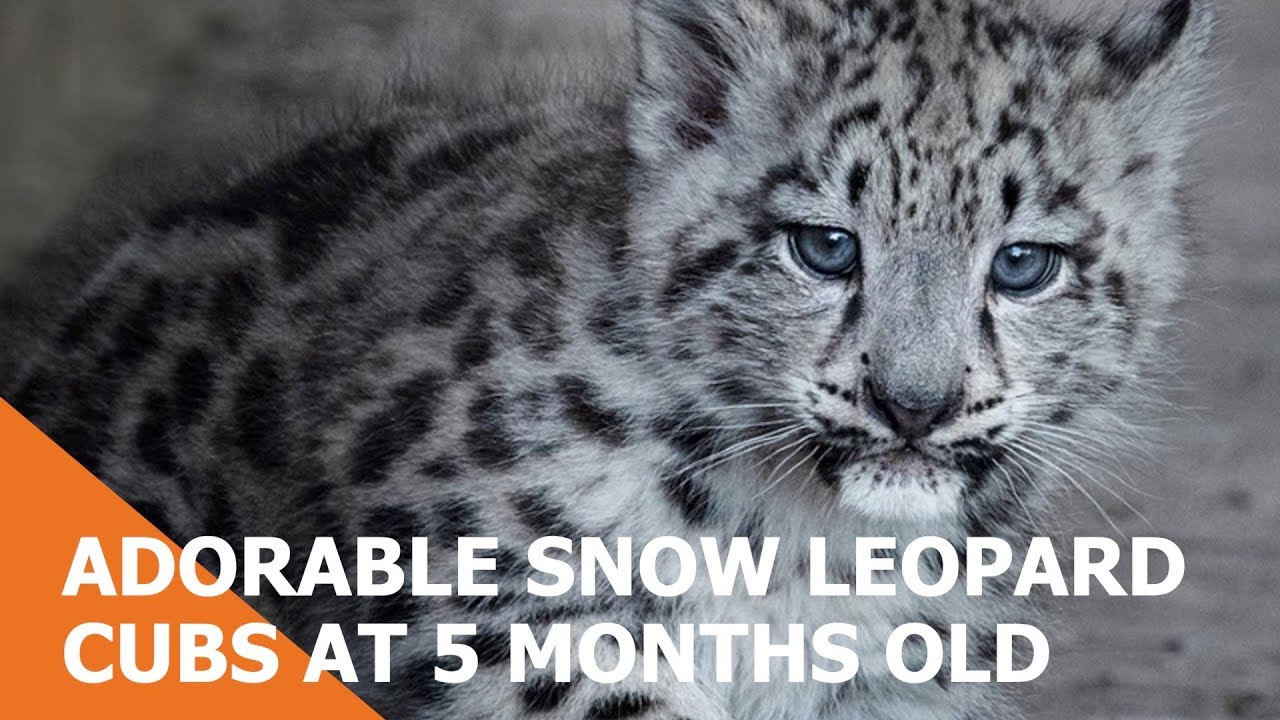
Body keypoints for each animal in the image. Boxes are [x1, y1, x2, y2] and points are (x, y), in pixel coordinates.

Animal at [2, 0, 1214, 718]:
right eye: (823, 246)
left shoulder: (893, 677)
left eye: (1022, 265)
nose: (911, 404)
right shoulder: (510, 610)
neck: (807, 552)